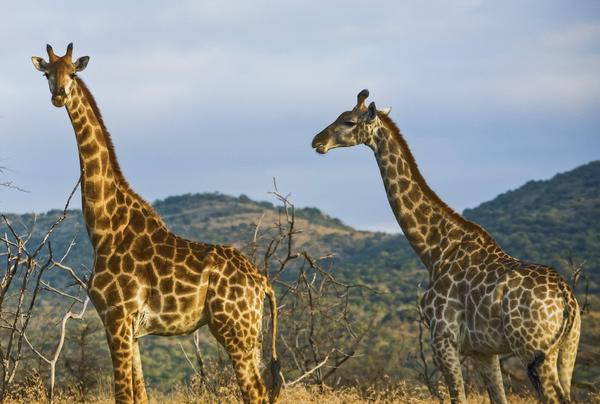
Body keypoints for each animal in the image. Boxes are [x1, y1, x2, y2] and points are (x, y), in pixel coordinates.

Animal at [31, 44, 284, 404]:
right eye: (47, 74)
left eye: (74, 73)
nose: (59, 95)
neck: (105, 228)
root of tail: (262, 282)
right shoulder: (132, 329)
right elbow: (140, 395)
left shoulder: (116, 317)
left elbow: (123, 395)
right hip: (252, 334)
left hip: (233, 328)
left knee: (256, 392)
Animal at [312, 90, 580, 402]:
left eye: (349, 121)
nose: (317, 141)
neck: (435, 250)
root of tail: (567, 299)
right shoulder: (483, 350)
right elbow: (496, 396)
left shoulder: (443, 338)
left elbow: (458, 396)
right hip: (566, 349)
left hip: (532, 348)